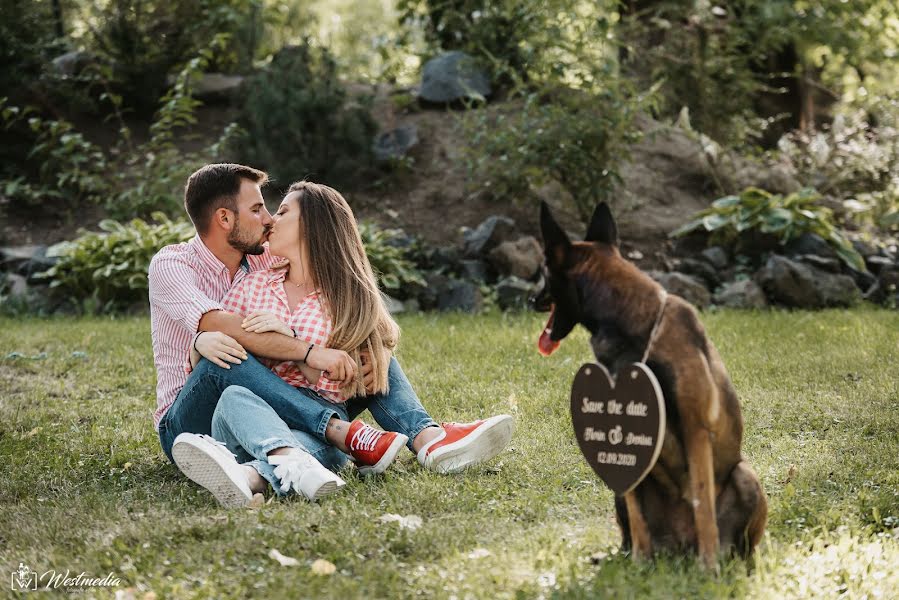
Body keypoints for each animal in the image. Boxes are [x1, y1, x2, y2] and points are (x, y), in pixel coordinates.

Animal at [536, 200, 768, 568]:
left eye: (543, 273)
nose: (532, 300)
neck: (635, 327)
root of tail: (680, 547)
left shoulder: (695, 428)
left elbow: (703, 503)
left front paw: (708, 568)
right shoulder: (625, 452)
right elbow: (636, 512)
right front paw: (640, 565)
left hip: (745, 475)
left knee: (736, 539)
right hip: (618, 495)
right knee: (628, 530)